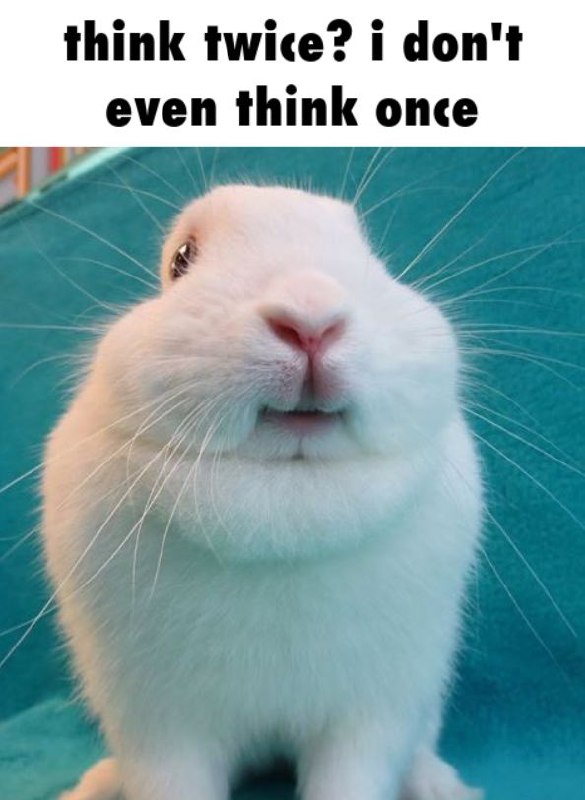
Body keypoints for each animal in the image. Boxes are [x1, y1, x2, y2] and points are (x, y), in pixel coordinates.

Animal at [42, 184, 484, 800]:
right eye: (182, 260)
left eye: (371, 253)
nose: (311, 319)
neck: (286, 494)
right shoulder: (160, 729)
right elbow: (172, 782)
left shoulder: (370, 719)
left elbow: (351, 779)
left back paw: (442, 785)